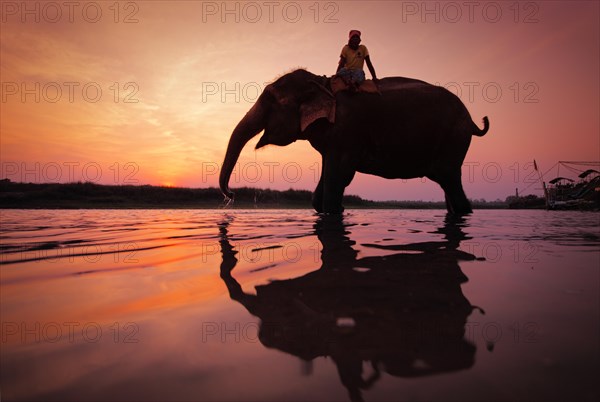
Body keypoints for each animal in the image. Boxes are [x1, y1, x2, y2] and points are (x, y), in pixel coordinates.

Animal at [218, 70, 490, 214]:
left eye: (272, 101)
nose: (232, 195)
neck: (322, 83)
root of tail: (472, 120)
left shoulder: (346, 132)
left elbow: (338, 176)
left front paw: (333, 210)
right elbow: (328, 178)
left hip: (453, 139)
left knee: (449, 179)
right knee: (447, 183)